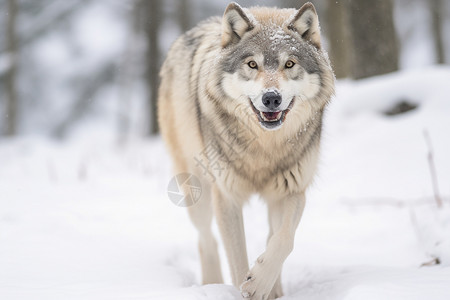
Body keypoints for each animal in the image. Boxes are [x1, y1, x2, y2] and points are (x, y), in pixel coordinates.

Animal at [158, 1, 334, 298]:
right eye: (252, 64)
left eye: (289, 63)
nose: (271, 98)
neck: (264, 146)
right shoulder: (227, 197)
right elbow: (237, 257)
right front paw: (245, 286)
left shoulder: (293, 190)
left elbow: (283, 239)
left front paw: (261, 282)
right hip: (197, 191)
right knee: (206, 239)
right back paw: (211, 283)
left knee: (270, 235)